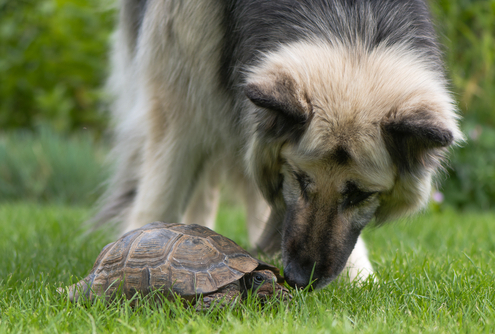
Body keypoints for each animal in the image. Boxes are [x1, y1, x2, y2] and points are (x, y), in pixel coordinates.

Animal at [94, 0, 464, 288]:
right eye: (299, 178)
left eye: (360, 195)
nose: (300, 278)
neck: (352, 17)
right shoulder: (179, 95)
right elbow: (163, 190)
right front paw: (140, 252)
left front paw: (359, 276)